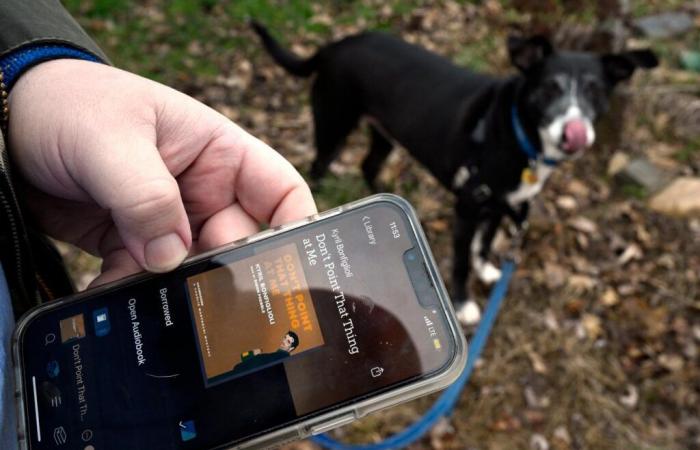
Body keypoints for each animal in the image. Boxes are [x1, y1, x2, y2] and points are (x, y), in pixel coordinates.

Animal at [254, 22, 660, 324]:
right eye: (548, 89)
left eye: (595, 91)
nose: (574, 134)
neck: (514, 133)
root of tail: (335, 44)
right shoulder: (467, 207)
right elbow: (463, 261)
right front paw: (464, 304)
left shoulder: (501, 205)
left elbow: (485, 242)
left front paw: (486, 270)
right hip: (333, 124)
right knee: (318, 166)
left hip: (384, 135)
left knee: (368, 165)